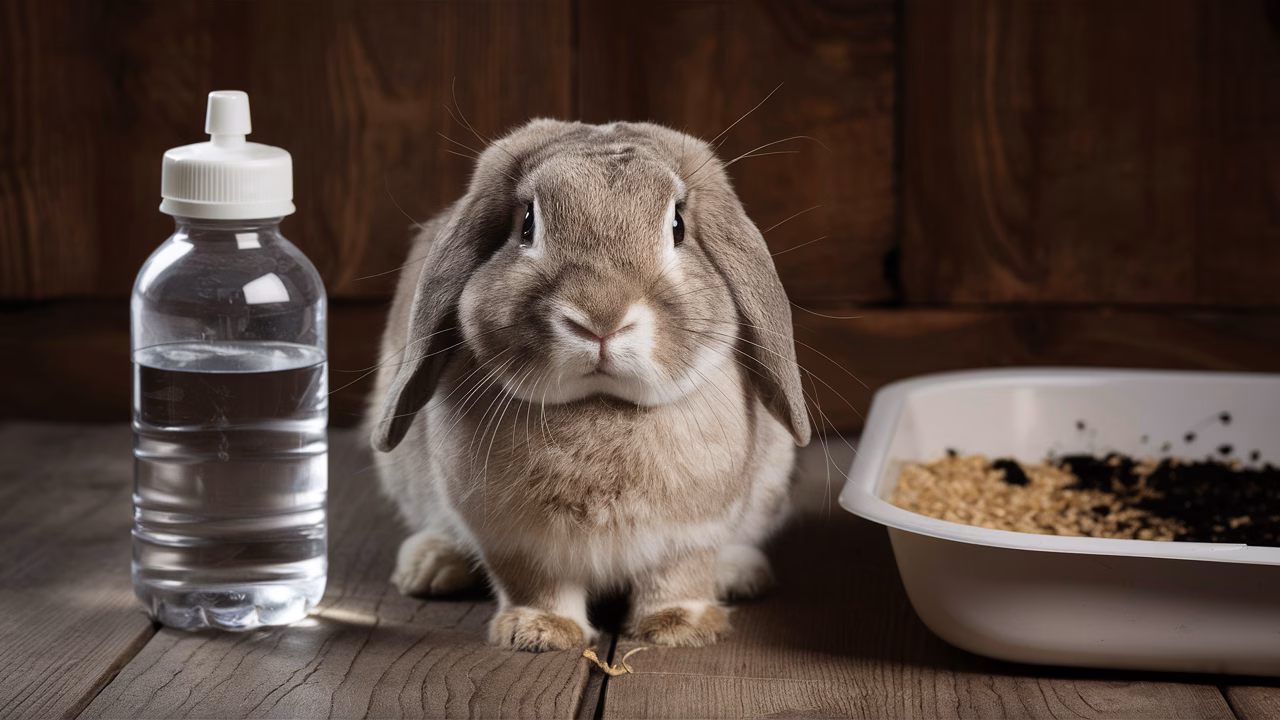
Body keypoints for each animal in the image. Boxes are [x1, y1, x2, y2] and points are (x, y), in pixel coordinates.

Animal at [366, 119, 810, 652]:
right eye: (527, 225)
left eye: (678, 225)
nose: (601, 316)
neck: (601, 405)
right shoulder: (515, 540)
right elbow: (536, 584)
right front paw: (539, 632)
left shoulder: (692, 534)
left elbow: (677, 577)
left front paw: (680, 627)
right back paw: (430, 567)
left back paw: (739, 576)